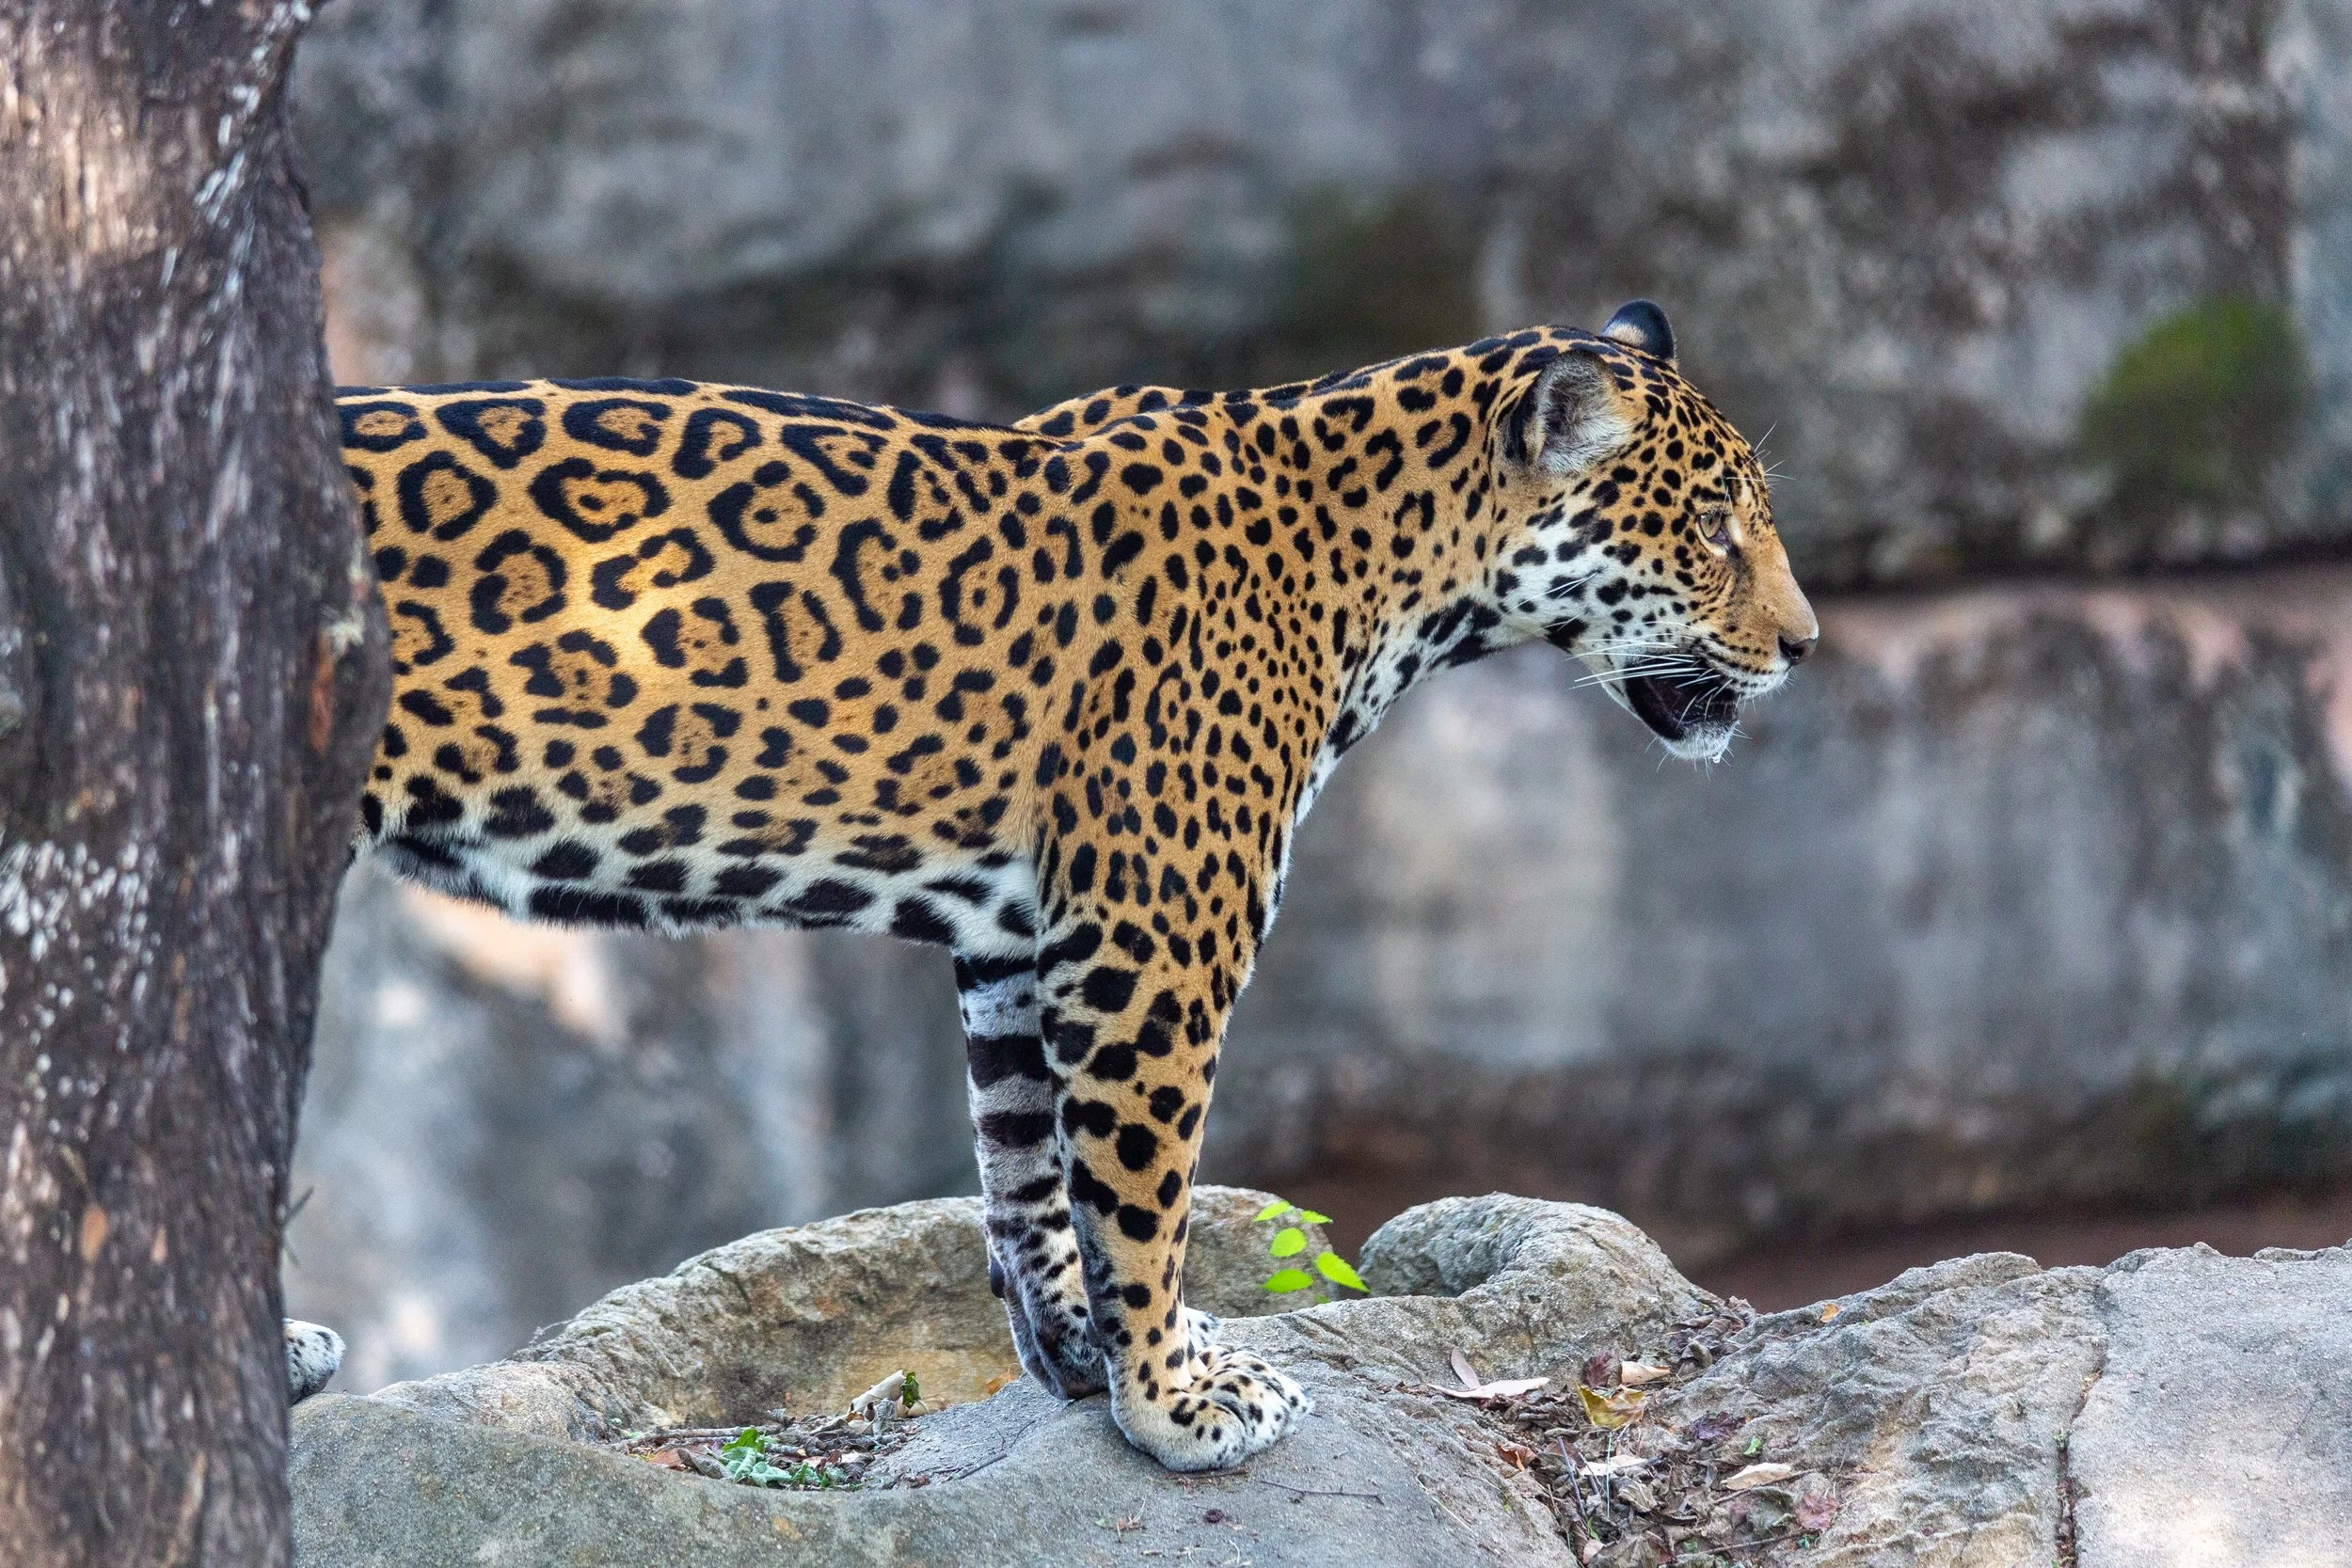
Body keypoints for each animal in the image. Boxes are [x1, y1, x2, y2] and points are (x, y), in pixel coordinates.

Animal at [303, 300, 1817, 1469]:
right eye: (1711, 529)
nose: (1803, 643)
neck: (1381, 567)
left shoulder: (1016, 935)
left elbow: (1025, 1160)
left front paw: (1076, 1353)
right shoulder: (1152, 938)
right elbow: (1143, 1190)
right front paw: (1172, 1402)